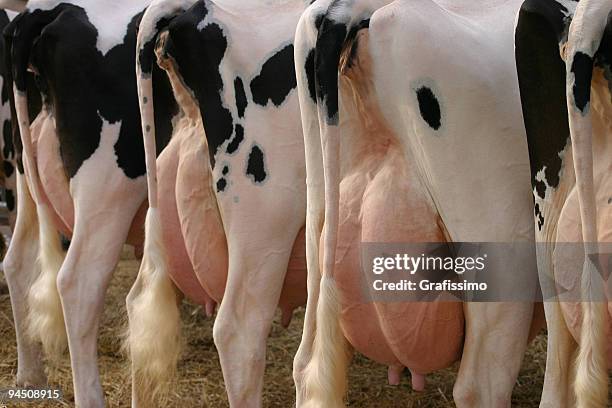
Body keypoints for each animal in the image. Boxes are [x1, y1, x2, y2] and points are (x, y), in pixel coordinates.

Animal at [2, 1, 178, 406]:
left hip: (27, 173)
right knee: (78, 282)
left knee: (18, 262)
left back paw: (29, 374)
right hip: (109, 186)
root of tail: (52, 11)